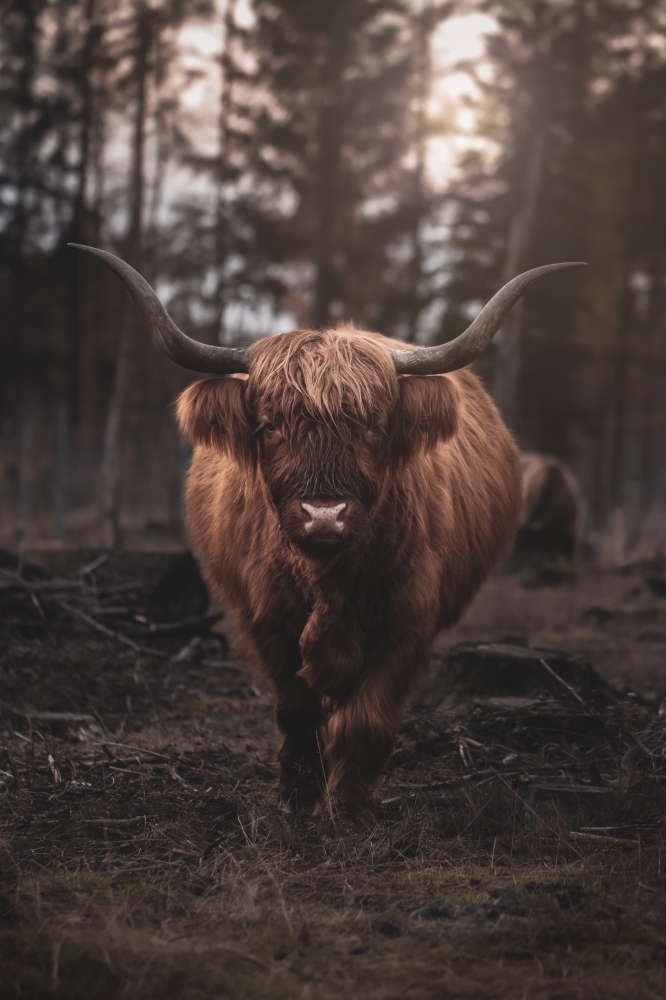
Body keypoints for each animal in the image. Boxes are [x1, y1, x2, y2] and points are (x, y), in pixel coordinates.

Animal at [69, 243, 585, 822]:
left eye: (375, 426)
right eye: (270, 425)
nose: (324, 515)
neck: (328, 577)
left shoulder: (408, 620)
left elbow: (365, 718)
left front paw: (350, 805)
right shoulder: (268, 619)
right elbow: (295, 708)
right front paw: (298, 795)